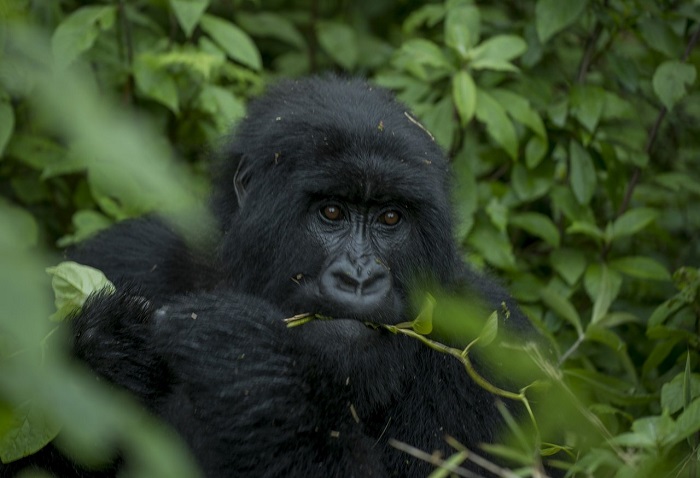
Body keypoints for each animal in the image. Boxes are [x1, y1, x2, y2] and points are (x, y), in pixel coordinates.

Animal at [2, 76, 532, 476]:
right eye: (332, 212)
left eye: (390, 219)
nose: (359, 278)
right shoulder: (126, 256)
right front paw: (104, 349)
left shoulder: (492, 348)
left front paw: (242, 353)